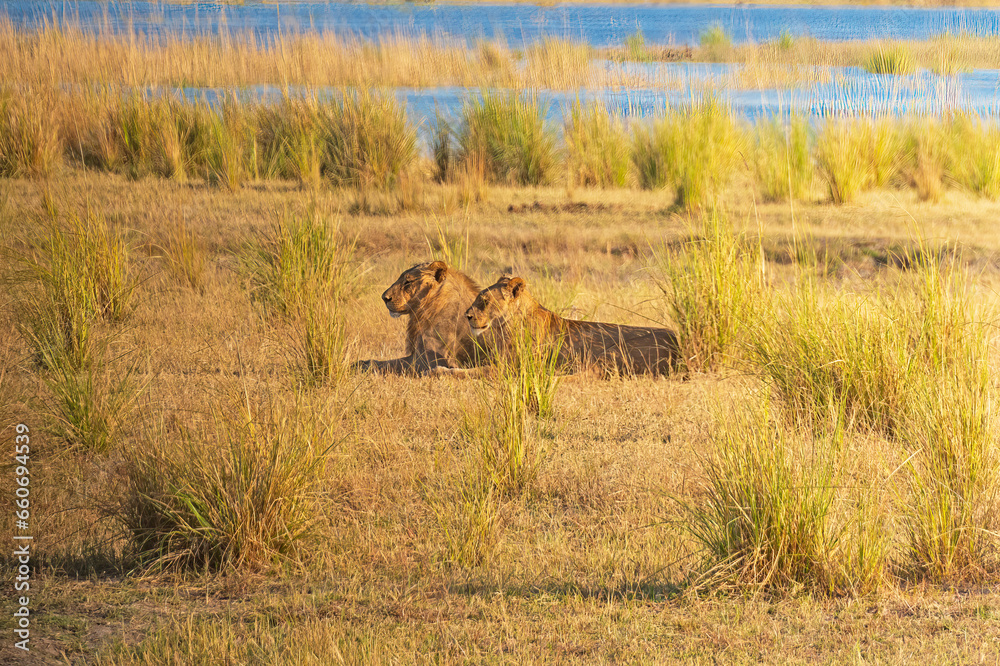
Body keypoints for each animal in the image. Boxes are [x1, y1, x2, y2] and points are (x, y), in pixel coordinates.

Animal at [464, 276, 679, 376]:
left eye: (484, 301)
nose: (467, 316)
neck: (506, 327)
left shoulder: (507, 368)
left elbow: (471, 373)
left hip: (614, 351)